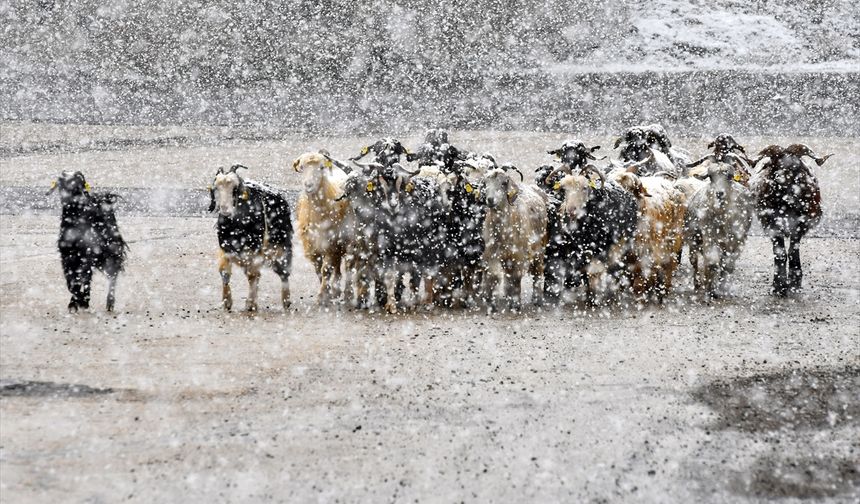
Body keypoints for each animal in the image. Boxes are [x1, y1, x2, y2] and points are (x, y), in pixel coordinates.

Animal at [48, 172, 127, 312]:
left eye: (78, 181)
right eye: (63, 182)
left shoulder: (88, 254)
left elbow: (84, 277)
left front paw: (82, 301)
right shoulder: (67, 257)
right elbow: (71, 281)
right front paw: (75, 302)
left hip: (112, 250)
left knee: (113, 275)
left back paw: (109, 303)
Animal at [208, 165, 292, 312]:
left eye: (235, 189)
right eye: (216, 188)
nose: (225, 211)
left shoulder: (254, 249)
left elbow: (252, 275)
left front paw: (251, 304)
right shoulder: (225, 248)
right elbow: (225, 273)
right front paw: (227, 302)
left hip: (280, 244)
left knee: (283, 271)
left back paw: (286, 301)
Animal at [294, 151, 352, 304]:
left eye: (321, 167)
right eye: (302, 167)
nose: (308, 185)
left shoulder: (330, 243)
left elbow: (326, 269)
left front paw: (322, 295)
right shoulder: (312, 245)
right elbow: (318, 269)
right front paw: (327, 293)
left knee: (349, 265)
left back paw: (348, 293)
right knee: (338, 264)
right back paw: (336, 291)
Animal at [480, 165, 548, 310]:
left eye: (504, 183)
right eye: (486, 183)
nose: (490, 200)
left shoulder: (518, 255)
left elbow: (515, 278)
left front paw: (515, 304)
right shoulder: (491, 253)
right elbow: (493, 275)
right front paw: (490, 302)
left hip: (539, 247)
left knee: (537, 272)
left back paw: (537, 300)